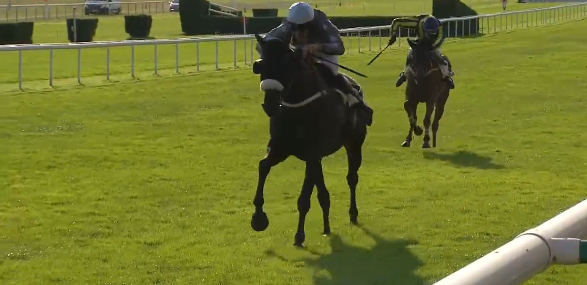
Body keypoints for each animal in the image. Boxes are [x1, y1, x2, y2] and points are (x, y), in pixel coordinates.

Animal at [250, 33, 370, 246]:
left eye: (285, 63)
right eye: (261, 64)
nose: (270, 104)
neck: (297, 107)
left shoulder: (312, 152)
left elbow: (304, 197)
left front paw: (299, 235)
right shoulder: (281, 147)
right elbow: (263, 166)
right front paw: (258, 217)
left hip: (354, 145)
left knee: (352, 178)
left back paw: (353, 213)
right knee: (322, 190)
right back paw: (326, 226)